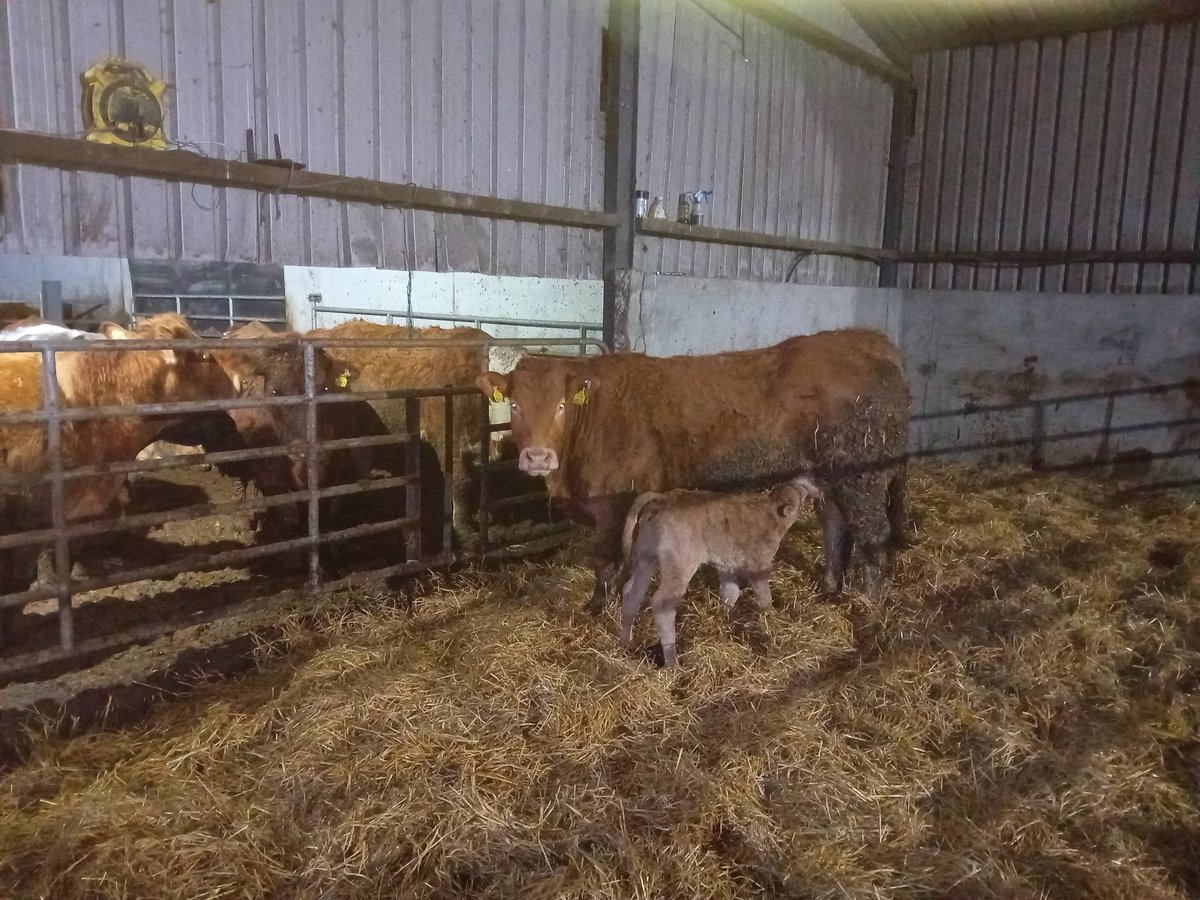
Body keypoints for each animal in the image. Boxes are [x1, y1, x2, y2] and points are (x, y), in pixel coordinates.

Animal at [475, 329, 910, 612]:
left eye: (561, 406)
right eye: (514, 405)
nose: (537, 458)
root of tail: (867, 339)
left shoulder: (614, 505)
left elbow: (606, 560)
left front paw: (599, 608)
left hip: (862, 476)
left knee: (872, 535)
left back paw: (867, 603)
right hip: (832, 476)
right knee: (836, 527)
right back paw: (830, 590)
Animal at [618, 476, 820, 667]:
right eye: (801, 492)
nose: (811, 488)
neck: (771, 512)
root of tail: (664, 497)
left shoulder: (725, 564)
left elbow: (731, 592)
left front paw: (726, 617)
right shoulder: (759, 563)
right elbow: (764, 596)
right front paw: (768, 617)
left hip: (646, 556)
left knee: (631, 592)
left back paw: (626, 641)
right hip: (680, 564)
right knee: (662, 604)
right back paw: (672, 663)